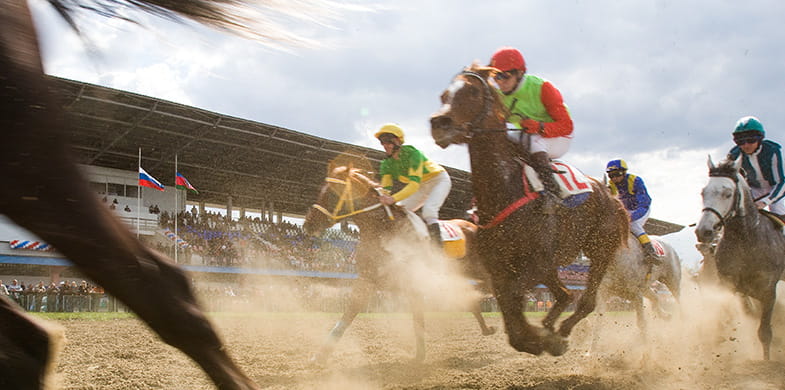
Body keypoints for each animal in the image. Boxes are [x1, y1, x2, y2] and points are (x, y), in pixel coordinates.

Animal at [302, 161, 494, 362]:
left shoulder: (413, 280)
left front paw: (419, 357)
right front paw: (321, 355)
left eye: (332, 193)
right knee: (473, 299)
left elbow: (417, 317)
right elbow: (351, 311)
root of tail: (475, 226)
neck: (384, 229)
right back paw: (487, 329)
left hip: (481, 271)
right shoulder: (368, 279)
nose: (308, 224)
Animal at [426, 64, 628, 356]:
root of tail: (613, 198)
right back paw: (549, 326)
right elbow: (509, 310)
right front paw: (534, 337)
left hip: (599, 251)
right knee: (565, 294)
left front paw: (542, 339)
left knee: (585, 300)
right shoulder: (500, 270)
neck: (505, 190)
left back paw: (561, 330)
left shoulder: (532, 266)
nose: (439, 124)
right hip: (554, 266)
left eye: (473, 91)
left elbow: (513, 300)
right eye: (444, 94)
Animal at [696, 156, 780, 360]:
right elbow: (746, 313)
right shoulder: (731, 285)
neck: (747, 241)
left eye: (727, 193)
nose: (704, 231)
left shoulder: (769, 289)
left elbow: (765, 332)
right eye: (703, 192)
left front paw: (766, 361)